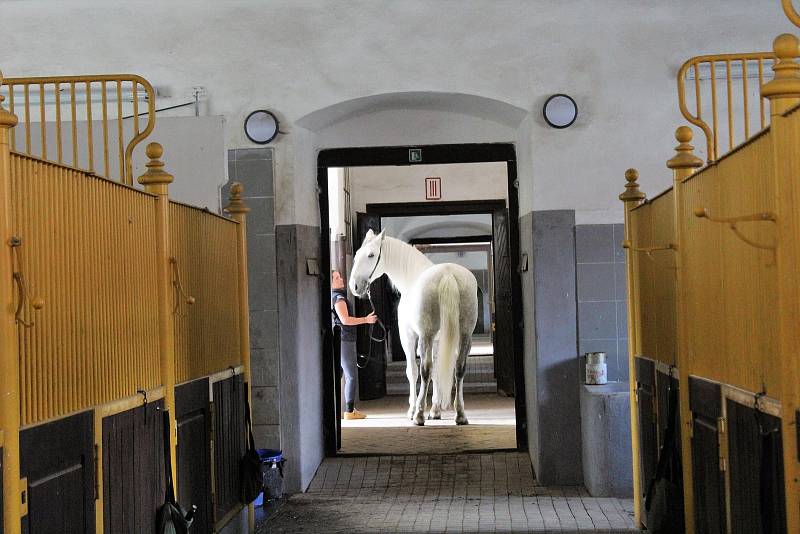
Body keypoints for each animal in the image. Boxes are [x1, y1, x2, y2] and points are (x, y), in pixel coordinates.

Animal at [348, 230, 476, 428]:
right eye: (356, 255)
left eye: (371, 255)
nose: (354, 286)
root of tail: (447, 274)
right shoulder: (438, 341)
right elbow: (437, 372)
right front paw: (435, 410)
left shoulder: (408, 336)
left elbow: (413, 372)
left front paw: (412, 409)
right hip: (464, 336)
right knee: (459, 369)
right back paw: (460, 414)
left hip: (425, 336)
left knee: (425, 370)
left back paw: (419, 415)